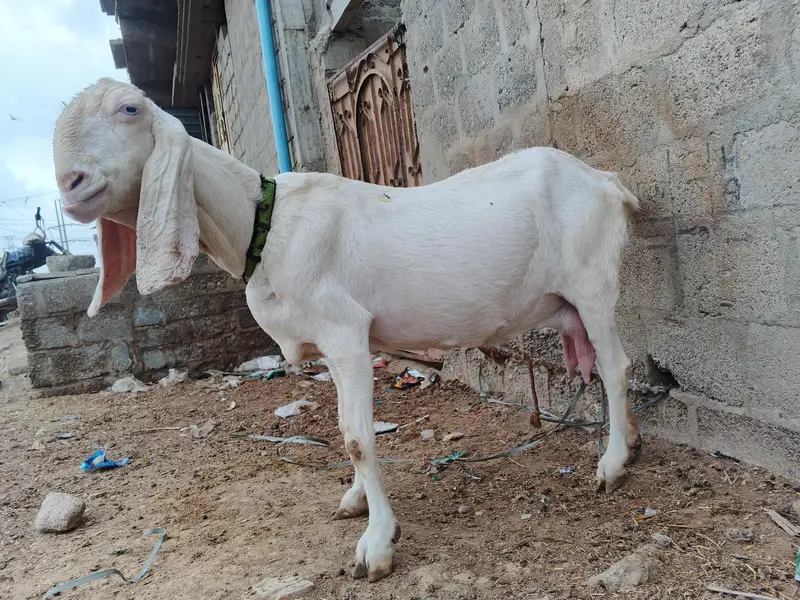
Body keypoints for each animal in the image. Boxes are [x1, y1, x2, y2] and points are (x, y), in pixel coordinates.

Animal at [53, 78, 641, 582]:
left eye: (130, 109)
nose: (69, 184)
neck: (265, 225)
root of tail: (607, 182)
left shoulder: (346, 332)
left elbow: (357, 437)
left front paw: (376, 544)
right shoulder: (333, 348)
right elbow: (346, 428)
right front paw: (356, 500)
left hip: (593, 281)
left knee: (617, 365)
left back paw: (613, 463)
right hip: (569, 302)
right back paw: (629, 440)